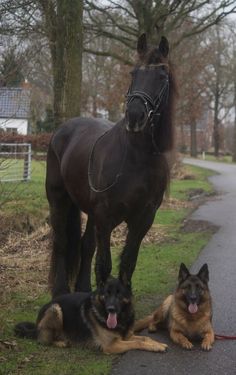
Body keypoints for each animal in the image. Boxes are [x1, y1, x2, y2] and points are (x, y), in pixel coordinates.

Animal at [14, 276, 168, 356]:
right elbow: (138, 342)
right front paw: (156, 347)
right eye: (106, 294)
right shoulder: (111, 346)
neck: (121, 318)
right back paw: (61, 342)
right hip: (55, 309)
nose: (111, 309)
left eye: (119, 294)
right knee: (43, 340)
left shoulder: (126, 337)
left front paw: (157, 343)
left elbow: (145, 338)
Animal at [45, 33, 175, 296]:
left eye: (162, 75)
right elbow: (104, 265)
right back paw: (61, 290)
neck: (138, 157)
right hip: (58, 199)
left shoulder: (143, 219)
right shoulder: (105, 217)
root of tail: (61, 130)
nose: (135, 116)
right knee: (61, 241)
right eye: (133, 73)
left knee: (85, 245)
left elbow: (127, 262)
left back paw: (83, 289)